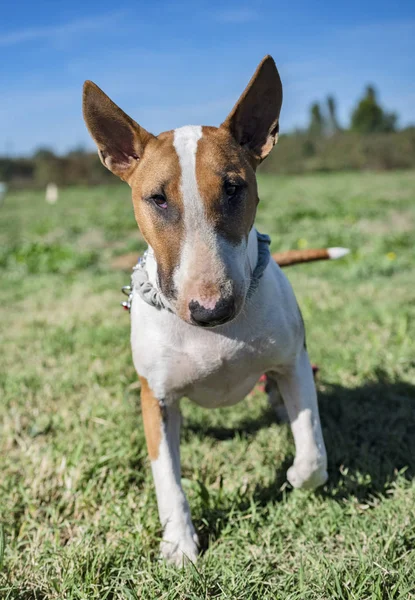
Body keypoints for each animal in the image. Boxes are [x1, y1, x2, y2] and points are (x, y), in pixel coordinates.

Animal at [82, 56, 344, 568]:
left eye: (234, 188)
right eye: (157, 198)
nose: (211, 309)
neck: (215, 336)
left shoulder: (292, 362)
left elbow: (313, 452)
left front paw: (295, 476)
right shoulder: (158, 400)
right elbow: (167, 479)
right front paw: (180, 546)